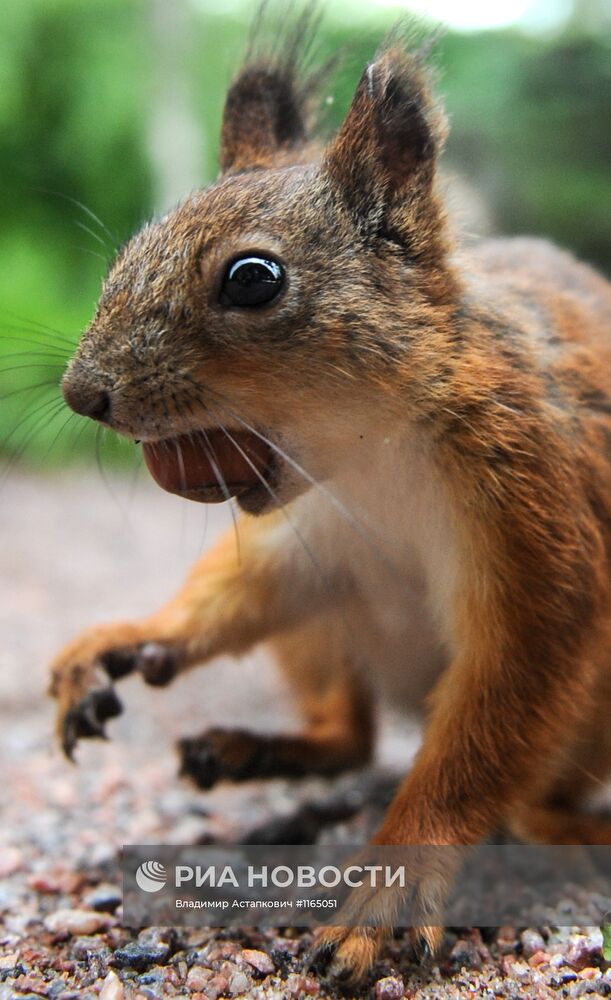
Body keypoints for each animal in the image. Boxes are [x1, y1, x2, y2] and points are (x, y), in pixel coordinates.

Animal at [49, 7, 611, 984]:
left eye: (252, 279)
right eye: (129, 250)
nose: (85, 395)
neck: (369, 456)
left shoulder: (536, 509)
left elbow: (500, 703)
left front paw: (391, 889)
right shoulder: (308, 539)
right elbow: (246, 593)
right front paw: (118, 640)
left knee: (525, 793)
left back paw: (573, 827)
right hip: (326, 637)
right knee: (347, 730)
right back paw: (255, 748)